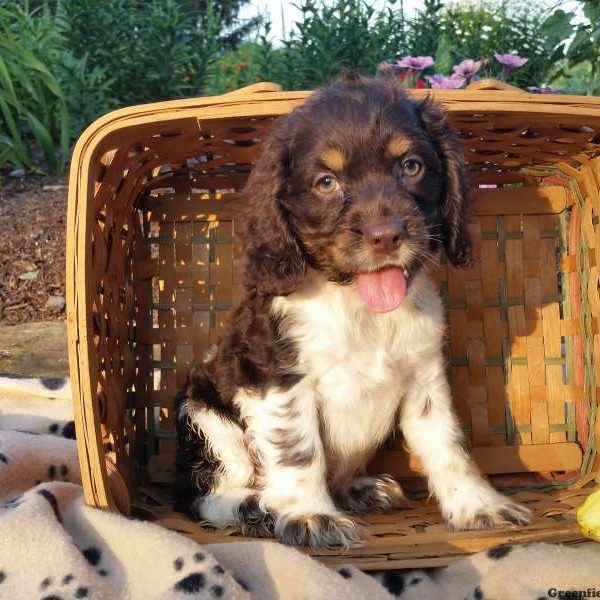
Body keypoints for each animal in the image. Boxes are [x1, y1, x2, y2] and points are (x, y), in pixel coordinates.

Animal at [172, 74, 528, 548]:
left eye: (411, 166)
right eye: (326, 182)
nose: (386, 236)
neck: (359, 305)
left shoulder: (424, 377)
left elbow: (447, 444)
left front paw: (479, 506)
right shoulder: (277, 379)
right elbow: (298, 450)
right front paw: (311, 516)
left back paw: (360, 489)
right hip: (206, 416)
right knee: (204, 496)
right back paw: (254, 508)